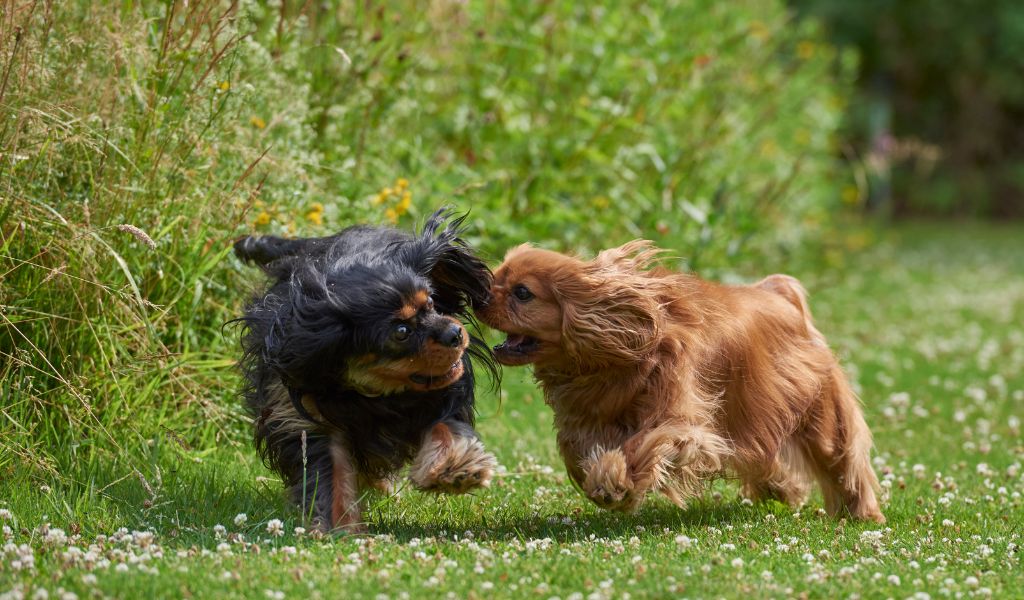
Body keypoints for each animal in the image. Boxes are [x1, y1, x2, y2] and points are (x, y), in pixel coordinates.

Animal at [235, 207, 499, 528]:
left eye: (432, 302)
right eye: (401, 332)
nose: (454, 334)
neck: (378, 394)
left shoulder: (445, 394)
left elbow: (444, 427)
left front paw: (455, 468)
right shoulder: (301, 412)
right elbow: (330, 471)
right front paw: (338, 525)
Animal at [475, 240, 884, 520]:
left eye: (522, 293)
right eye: (496, 278)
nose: (480, 295)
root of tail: (779, 293)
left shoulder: (679, 422)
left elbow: (641, 447)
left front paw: (613, 483)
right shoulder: (586, 420)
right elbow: (580, 450)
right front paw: (604, 477)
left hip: (822, 418)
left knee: (844, 464)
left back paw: (865, 514)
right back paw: (780, 487)